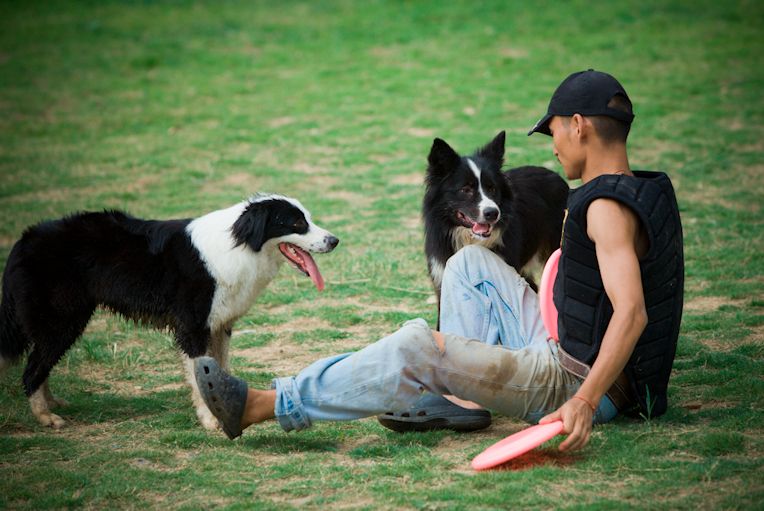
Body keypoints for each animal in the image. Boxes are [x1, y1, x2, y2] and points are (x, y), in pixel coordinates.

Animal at [0, 194, 340, 430]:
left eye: (308, 219)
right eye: (296, 224)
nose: (335, 240)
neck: (240, 246)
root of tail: (23, 240)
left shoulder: (220, 324)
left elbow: (218, 368)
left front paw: (226, 402)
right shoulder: (193, 326)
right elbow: (199, 375)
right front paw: (211, 420)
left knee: (39, 365)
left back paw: (52, 402)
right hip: (62, 322)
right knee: (32, 370)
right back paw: (46, 417)